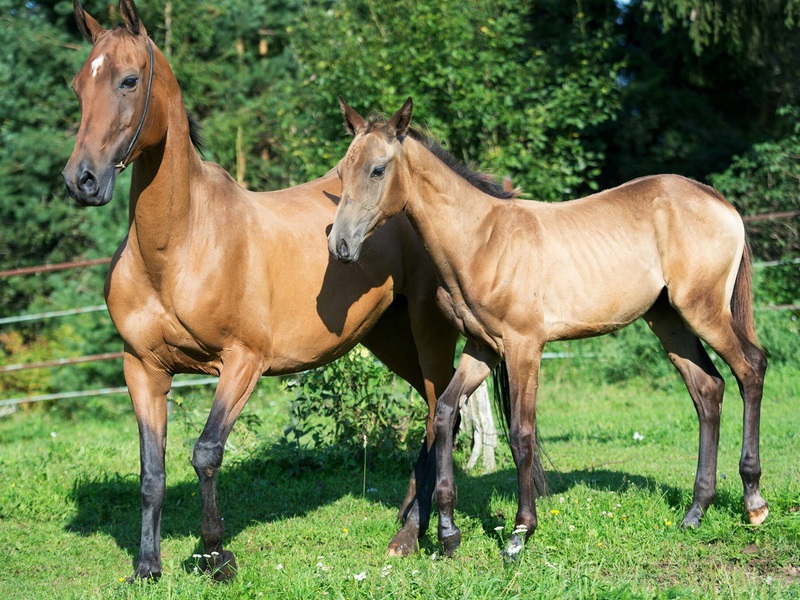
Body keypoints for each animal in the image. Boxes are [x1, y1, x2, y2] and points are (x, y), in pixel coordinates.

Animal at [62, 1, 459, 580]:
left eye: (129, 80)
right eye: (78, 85)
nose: (82, 180)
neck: (180, 247)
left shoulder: (242, 363)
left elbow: (205, 453)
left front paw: (216, 554)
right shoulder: (142, 368)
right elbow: (151, 472)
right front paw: (147, 567)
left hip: (429, 333)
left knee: (441, 411)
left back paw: (420, 533)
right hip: (388, 336)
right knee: (438, 412)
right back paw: (411, 526)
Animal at [328, 97, 768, 560]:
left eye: (378, 170)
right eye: (342, 170)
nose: (340, 246)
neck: (481, 240)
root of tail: (719, 201)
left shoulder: (524, 346)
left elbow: (522, 434)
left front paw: (520, 532)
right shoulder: (482, 348)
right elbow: (447, 414)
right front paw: (449, 533)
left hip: (703, 310)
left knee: (750, 368)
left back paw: (754, 502)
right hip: (668, 321)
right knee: (708, 389)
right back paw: (696, 511)